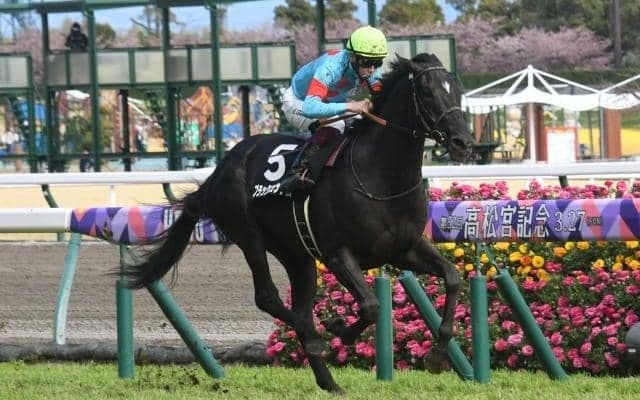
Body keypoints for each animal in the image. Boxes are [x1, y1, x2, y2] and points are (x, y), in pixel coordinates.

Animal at [122, 53, 475, 394]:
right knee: (269, 298)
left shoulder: (404, 248)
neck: (381, 176)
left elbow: (452, 277)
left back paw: (329, 381)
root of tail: (221, 168)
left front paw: (437, 354)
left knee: (298, 304)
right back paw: (316, 337)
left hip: (297, 255)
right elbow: (371, 305)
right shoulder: (337, 253)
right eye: (427, 92)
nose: (463, 142)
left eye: (457, 89)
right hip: (249, 235)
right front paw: (338, 328)